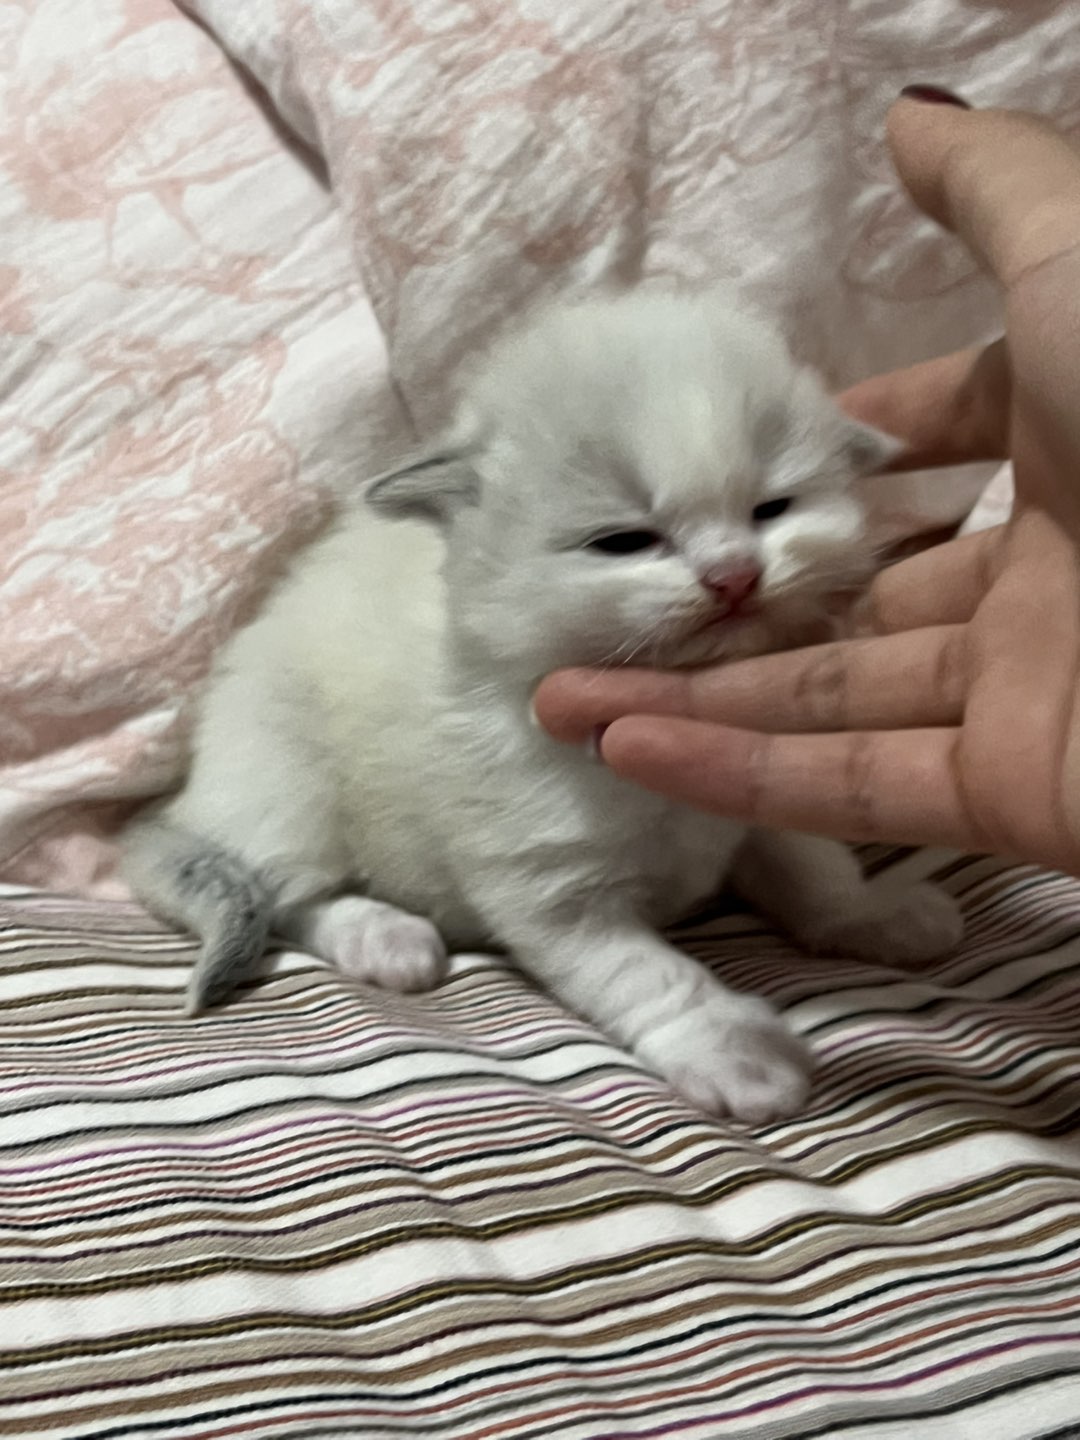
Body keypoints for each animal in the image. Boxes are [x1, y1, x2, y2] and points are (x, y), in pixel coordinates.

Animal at [122, 290, 963, 1122]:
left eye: (772, 508)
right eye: (624, 541)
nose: (733, 577)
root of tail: (192, 794)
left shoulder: (748, 793)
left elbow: (815, 867)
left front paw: (867, 913)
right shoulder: (549, 882)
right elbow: (647, 973)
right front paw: (732, 1047)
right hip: (285, 779)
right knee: (288, 890)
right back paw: (382, 935)